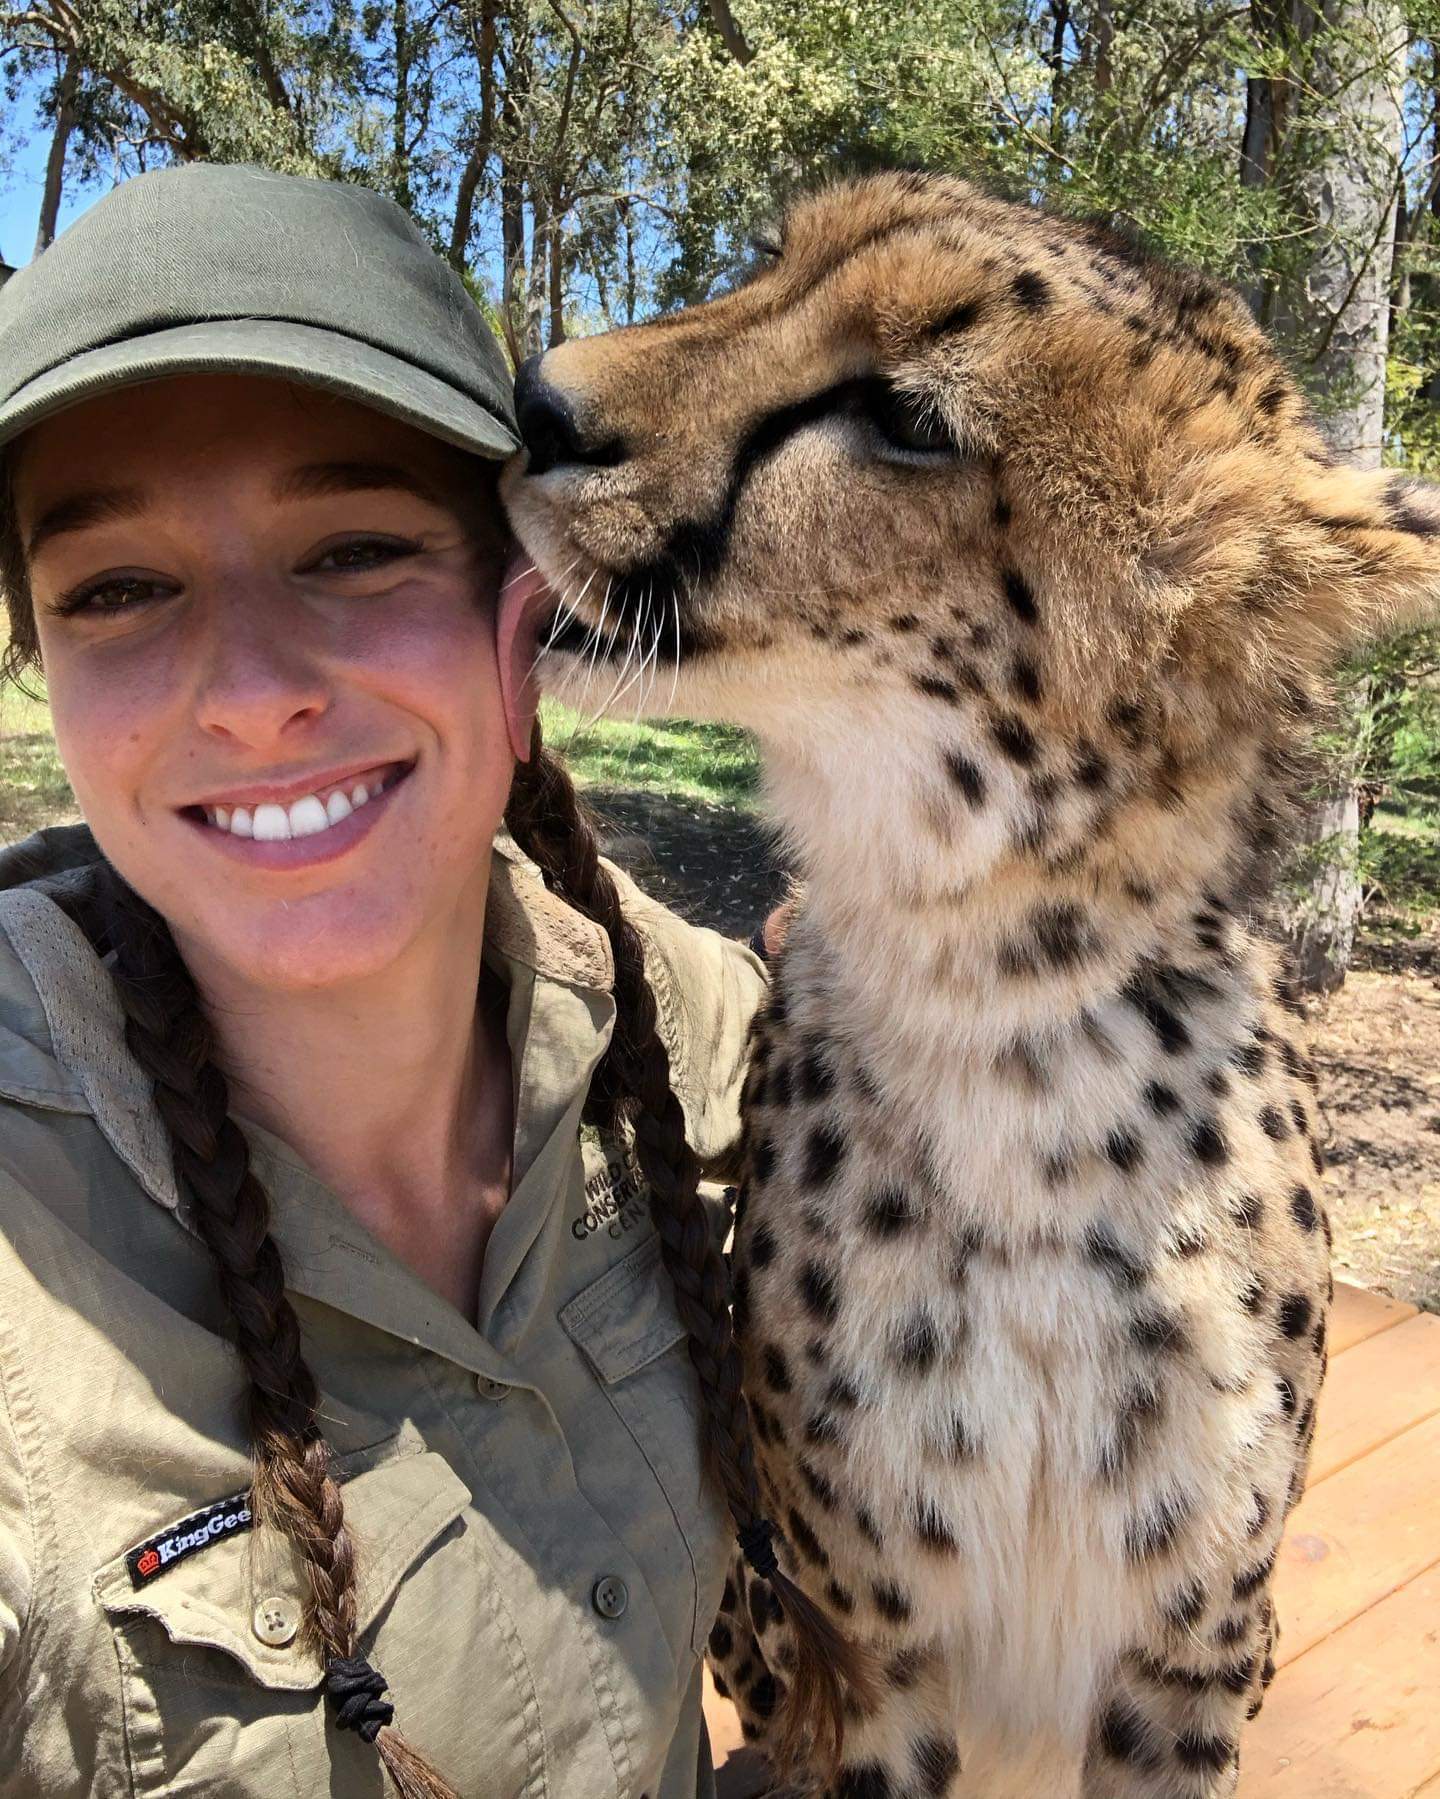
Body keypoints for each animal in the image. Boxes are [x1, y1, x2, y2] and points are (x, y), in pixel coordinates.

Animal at [496, 171, 1440, 1799]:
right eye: (774, 264)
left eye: (905, 416)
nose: (537, 397)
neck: (1003, 1007)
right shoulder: (868, 1652)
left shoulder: (1191, 1650)